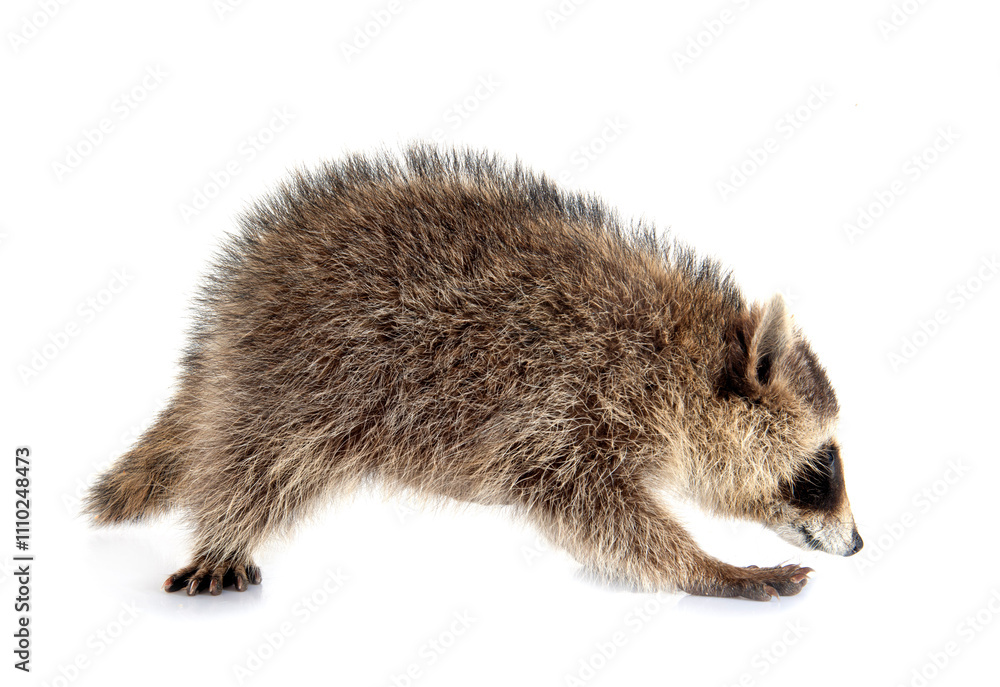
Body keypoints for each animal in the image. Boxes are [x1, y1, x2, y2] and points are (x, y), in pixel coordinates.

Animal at [85, 145, 862, 601]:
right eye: (822, 465)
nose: (858, 543)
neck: (683, 354)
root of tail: (231, 300)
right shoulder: (575, 395)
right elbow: (591, 505)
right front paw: (706, 567)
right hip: (302, 366)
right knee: (256, 459)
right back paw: (225, 531)